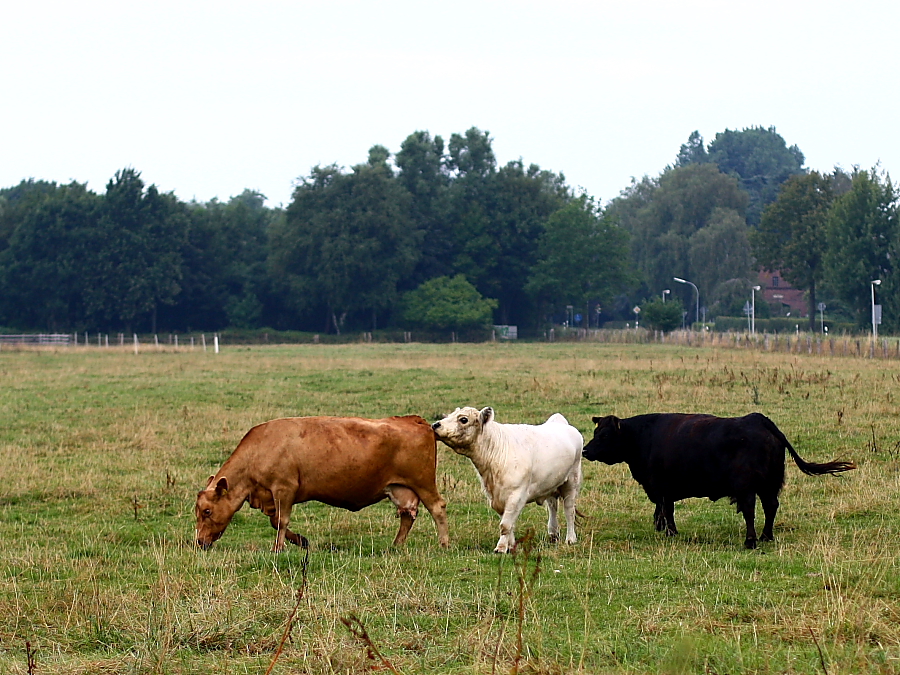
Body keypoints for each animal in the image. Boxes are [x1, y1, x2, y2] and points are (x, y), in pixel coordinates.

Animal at [196, 414, 450, 552]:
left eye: (207, 511)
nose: (198, 541)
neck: (259, 449)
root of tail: (415, 420)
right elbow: (276, 522)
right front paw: (300, 540)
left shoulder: (284, 489)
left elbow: (281, 521)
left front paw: (278, 547)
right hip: (399, 488)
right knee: (407, 516)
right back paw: (396, 545)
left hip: (423, 483)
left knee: (438, 508)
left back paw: (444, 544)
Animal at [434, 406, 588, 556]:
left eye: (463, 419)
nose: (435, 425)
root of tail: (560, 423)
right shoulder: (495, 497)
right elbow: (509, 524)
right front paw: (511, 545)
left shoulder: (516, 495)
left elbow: (505, 525)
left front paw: (501, 547)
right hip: (551, 483)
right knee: (552, 506)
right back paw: (553, 534)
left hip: (571, 482)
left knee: (569, 510)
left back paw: (570, 539)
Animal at [580, 412, 856, 548]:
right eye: (596, 431)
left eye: (604, 435)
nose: (585, 450)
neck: (642, 437)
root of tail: (759, 420)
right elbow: (661, 510)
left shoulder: (662, 487)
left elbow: (666, 510)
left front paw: (670, 532)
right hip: (770, 484)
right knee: (771, 508)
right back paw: (766, 536)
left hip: (747, 487)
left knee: (750, 511)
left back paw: (750, 541)